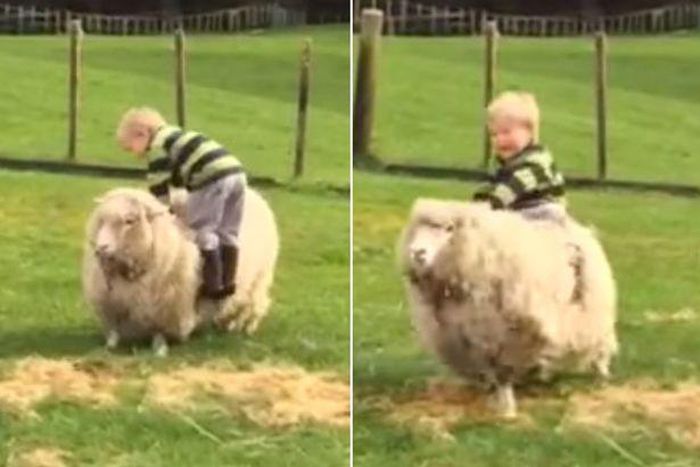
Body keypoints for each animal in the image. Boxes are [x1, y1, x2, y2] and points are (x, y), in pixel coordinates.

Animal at [82, 187, 279, 356]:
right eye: (101, 220)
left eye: (129, 220)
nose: (100, 248)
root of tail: (254, 194)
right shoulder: (115, 300)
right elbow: (114, 327)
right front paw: (110, 345)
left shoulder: (167, 304)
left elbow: (160, 329)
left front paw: (159, 349)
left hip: (259, 279)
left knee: (253, 305)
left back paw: (245, 327)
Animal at [399, 199, 618, 418]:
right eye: (416, 229)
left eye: (449, 228)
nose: (417, 253)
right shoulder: (468, 332)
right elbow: (488, 368)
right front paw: (494, 398)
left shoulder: (506, 333)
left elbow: (502, 372)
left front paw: (507, 409)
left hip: (592, 306)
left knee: (601, 343)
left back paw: (602, 377)